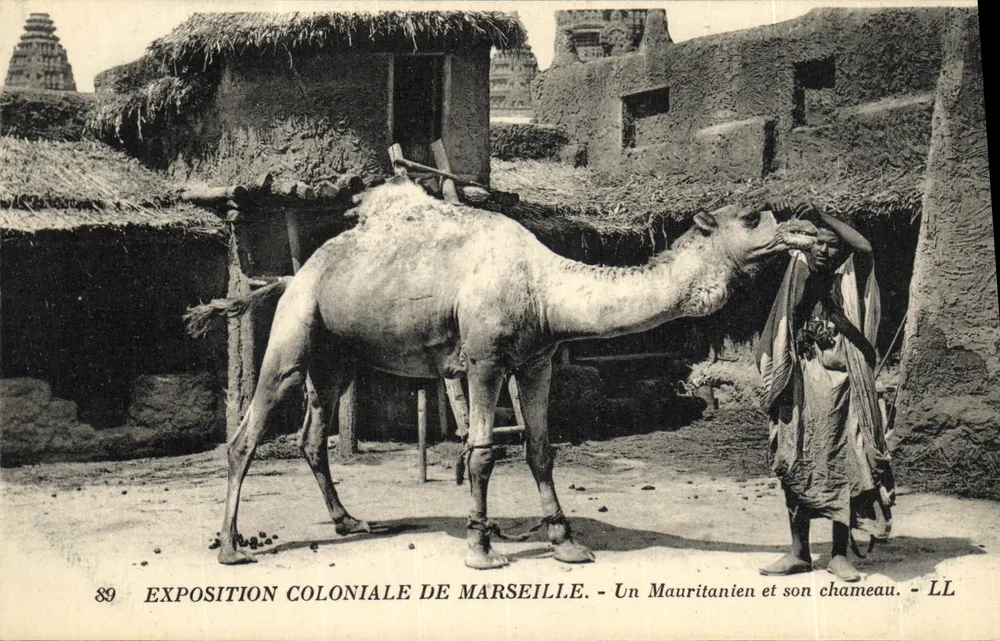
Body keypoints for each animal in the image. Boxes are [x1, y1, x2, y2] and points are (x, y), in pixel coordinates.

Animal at [186, 179, 816, 569]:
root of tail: (292, 275)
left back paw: (348, 522)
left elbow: (541, 448)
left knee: (312, 436)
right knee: (247, 434)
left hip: (337, 357)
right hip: (294, 332)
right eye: (753, 216)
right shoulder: (484, 359)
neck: (542, 286)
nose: (807, 230)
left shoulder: (536, 361)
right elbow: (484, 452)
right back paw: (232, 548)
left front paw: (565, 544)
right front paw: (482, 548)